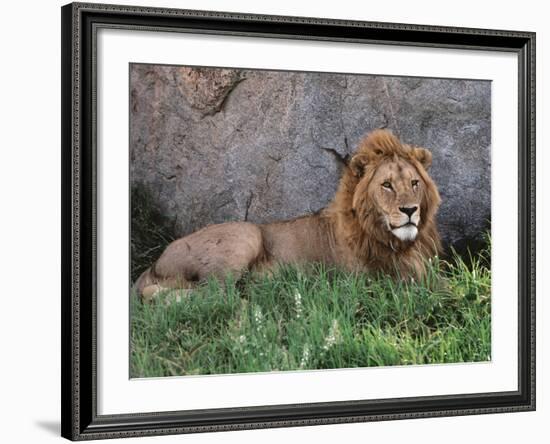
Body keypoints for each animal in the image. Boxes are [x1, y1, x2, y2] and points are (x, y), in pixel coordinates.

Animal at [135, 129, 444, 302]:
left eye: (414, 183)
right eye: (387, 185)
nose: (409, 210)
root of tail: (154, 264)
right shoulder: (376, 282)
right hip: (245, 235)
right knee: (213, 296)